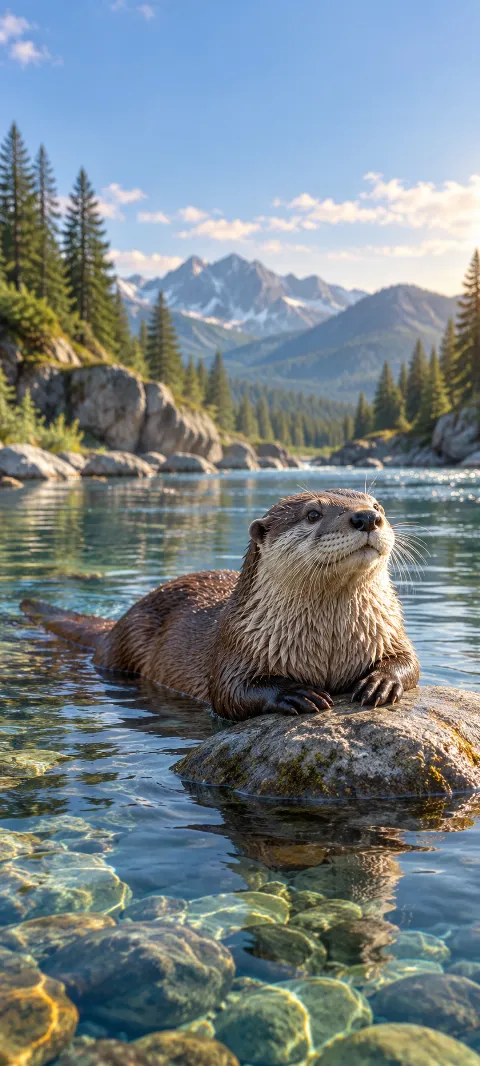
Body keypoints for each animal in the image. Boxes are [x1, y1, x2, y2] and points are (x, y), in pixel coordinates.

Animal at [21, 489, 419, 720]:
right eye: (312, 514)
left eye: (378, 505)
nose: (367, 517)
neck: (330, 647)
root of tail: (116, 625)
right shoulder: (237, 642)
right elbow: (228, 692)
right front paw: (294, 693)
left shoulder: (389, 631)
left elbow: (411, 663)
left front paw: (382, 682)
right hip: (129, 642)